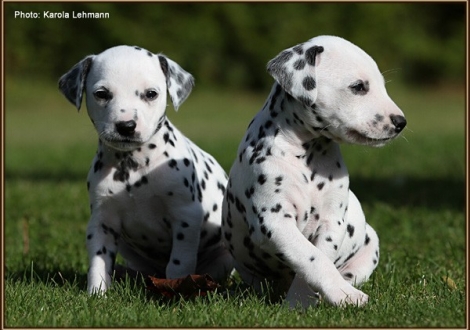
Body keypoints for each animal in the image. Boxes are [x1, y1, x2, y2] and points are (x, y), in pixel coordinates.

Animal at [58, 44, 233, 294]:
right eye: (101, 94)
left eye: (151, 94)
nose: (126, 126)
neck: (133, 166)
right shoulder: (102, 221)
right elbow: (99, 261)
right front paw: (97, 293)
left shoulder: (185, 216)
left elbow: (179, 262)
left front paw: (175, 286)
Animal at [222, 34, 406, 308]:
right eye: (359, 87)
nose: (400, 122)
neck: (307, 156)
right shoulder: (274, 221)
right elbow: (311, 258)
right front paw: (329, 297)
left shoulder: (332, 222)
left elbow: (319, 258)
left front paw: (305, 301)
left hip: (370, 247)